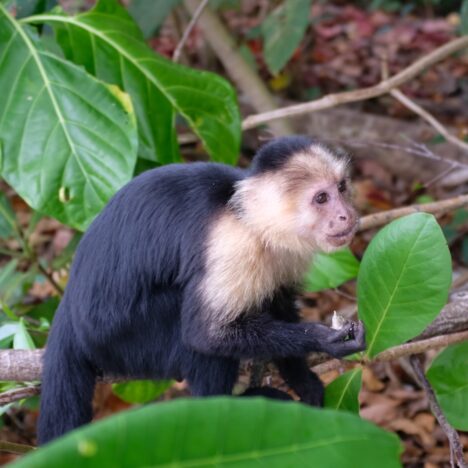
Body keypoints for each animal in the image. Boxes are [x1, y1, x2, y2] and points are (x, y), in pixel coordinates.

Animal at [37, 136, 366, 446]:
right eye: (321, 198)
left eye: (341, 187)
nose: (346, 215)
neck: (252, 222)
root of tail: (68, 310)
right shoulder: (233, 245)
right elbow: (205, 335)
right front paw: (323, 340)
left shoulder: (284, 252)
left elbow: (279, 303)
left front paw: (303, 380)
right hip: (117, 340)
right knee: (191, 335)